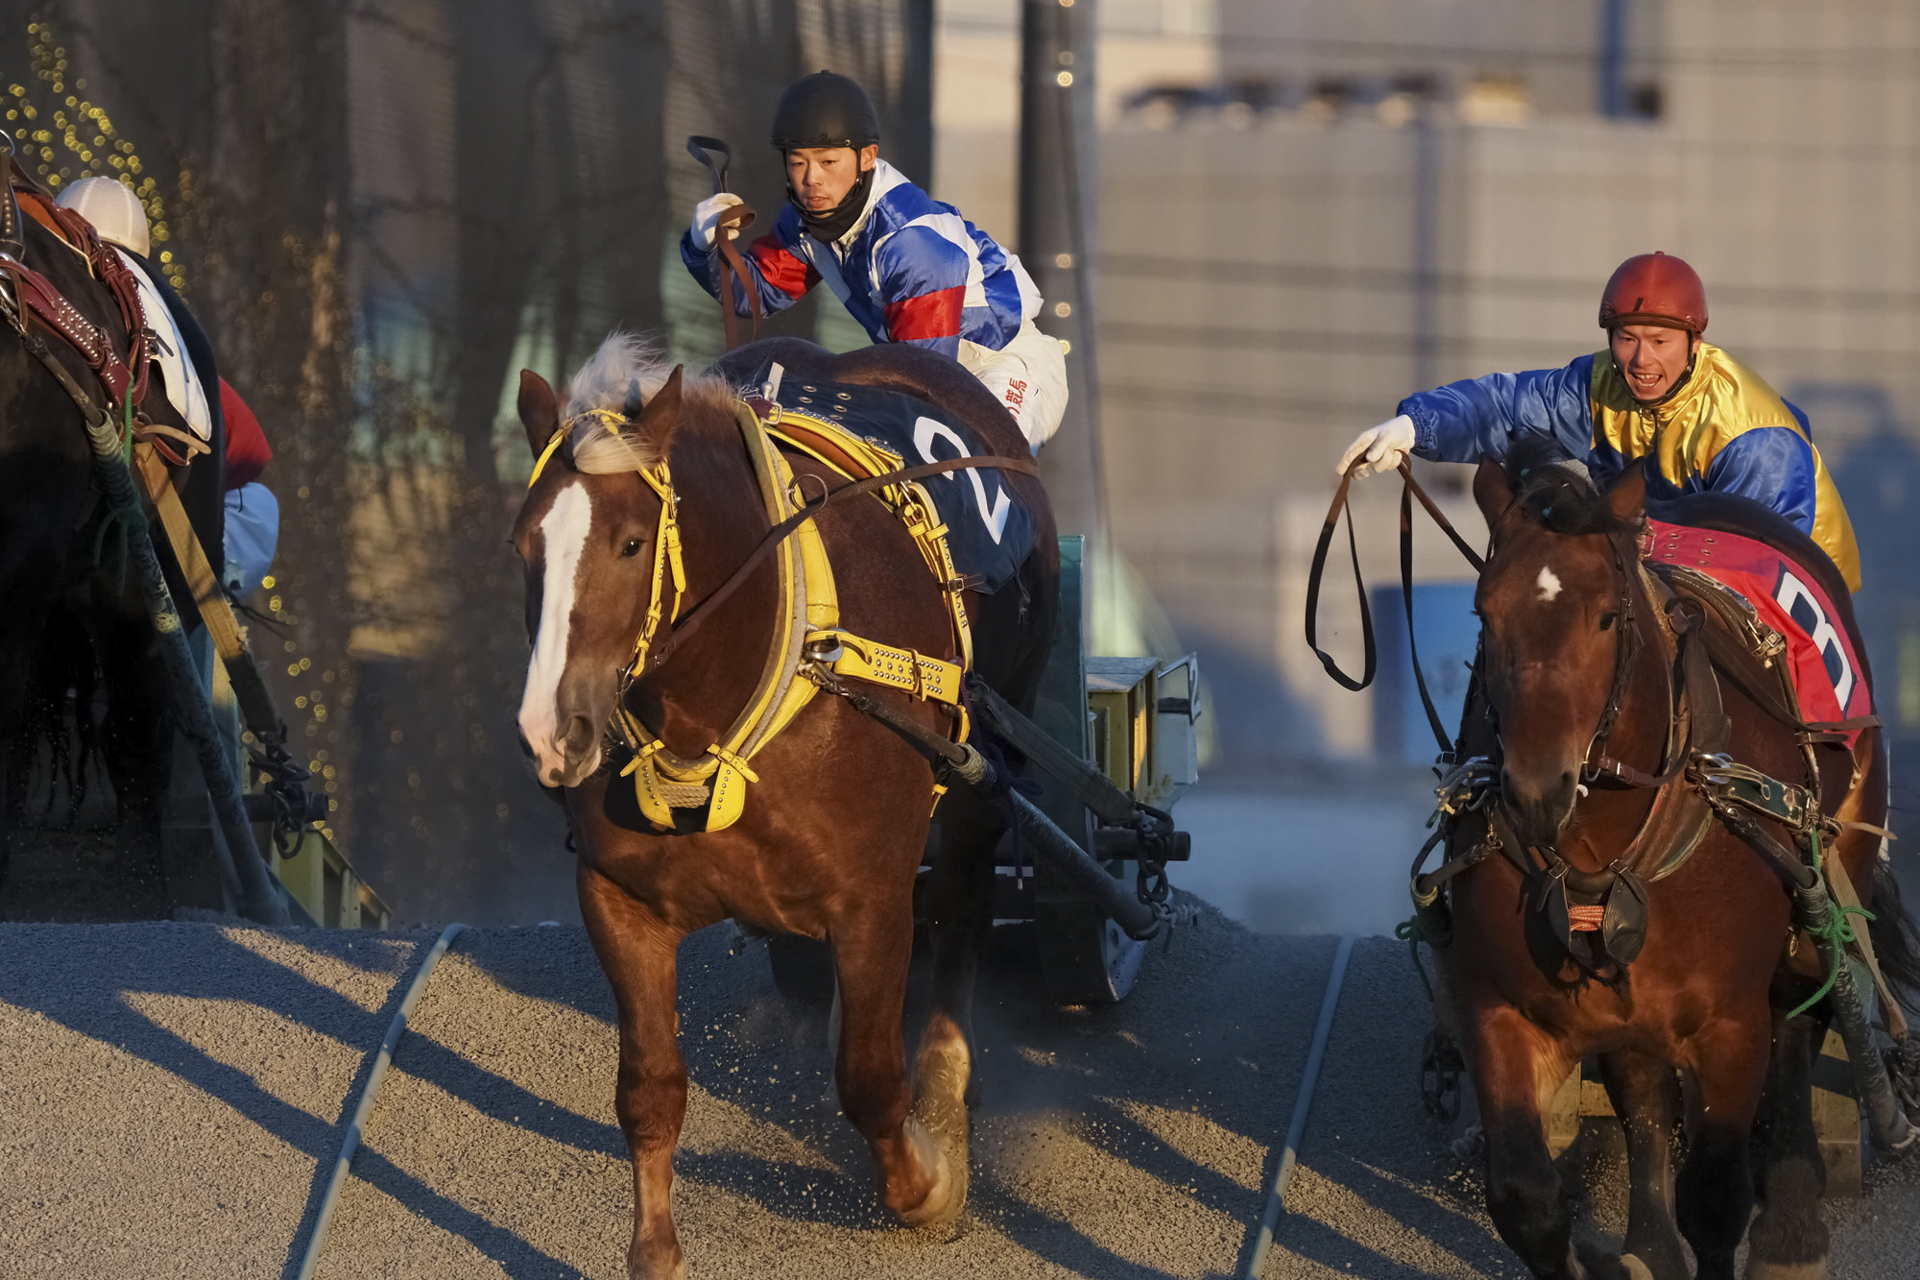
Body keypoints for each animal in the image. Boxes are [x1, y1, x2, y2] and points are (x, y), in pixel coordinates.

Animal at [510, 333, 1059, 1280]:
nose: (553, 729)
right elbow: (649, 1090)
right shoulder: (620, 901)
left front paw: (930, 1175)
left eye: (629, 543)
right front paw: (655, 1250)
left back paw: (948, 1082)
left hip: (989, 752)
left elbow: (872, 1083)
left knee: (962, 901)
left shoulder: (872, 898)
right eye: (523, 547)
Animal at [1443, 443, 1920, 1280]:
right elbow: (1527, 1199)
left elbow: (1718, 1195)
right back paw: (1651, 1242)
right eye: (1485, 614)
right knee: (1641, 1084)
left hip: (1828, 878)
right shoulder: (1496, 1005)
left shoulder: (1729, 1022)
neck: (1600, 853)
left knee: (1802, 1017)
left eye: (1607, 613)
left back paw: (1791, 1221)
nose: (1536, 788)